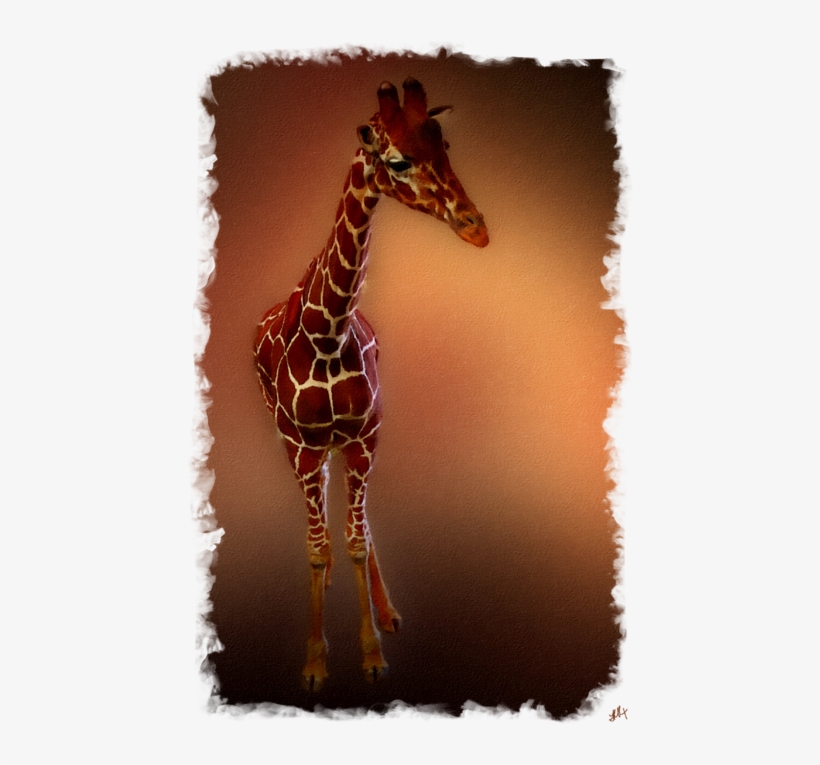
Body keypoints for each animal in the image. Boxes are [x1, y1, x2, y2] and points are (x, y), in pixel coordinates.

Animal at [254, 77, 489, 691]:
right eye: (397, 160)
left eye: (445, 146)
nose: (477, 230)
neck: (327, 331)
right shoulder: (304, 445)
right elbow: (316, 548)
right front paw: (315, 663)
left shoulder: (364, 436)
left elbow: (359, 539)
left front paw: (373, 652)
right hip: (295, 442)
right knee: (319, 525)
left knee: (359, 521)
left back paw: (385, 610)